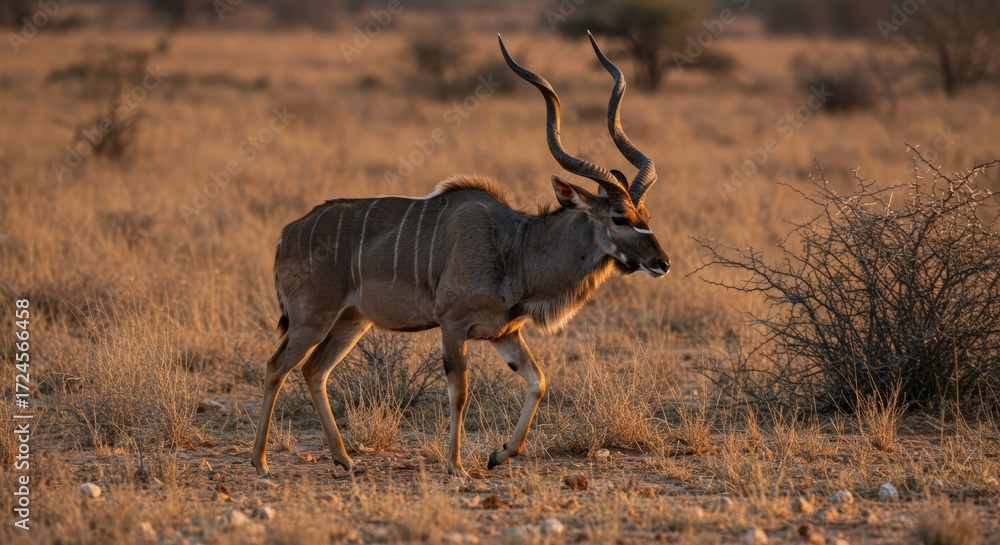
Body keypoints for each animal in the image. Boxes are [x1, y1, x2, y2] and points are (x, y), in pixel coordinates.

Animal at [251, 32, 669, 478]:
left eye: (645, 216)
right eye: (619, 218)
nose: (662, 263)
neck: (514, 246)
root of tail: (287, 234)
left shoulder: (505, 333)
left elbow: (538, 381)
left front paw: (499, 454)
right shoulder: (452, 326)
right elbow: (460, 391)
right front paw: (456, 466)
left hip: (351, 321)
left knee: (314, 370)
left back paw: (343, 458)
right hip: (312, 318)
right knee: (277, 366)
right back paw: (261, 462)